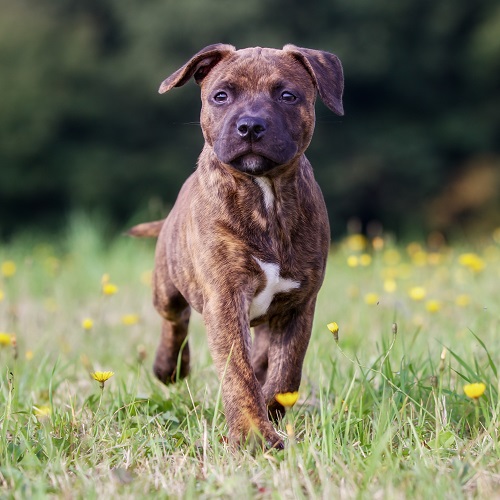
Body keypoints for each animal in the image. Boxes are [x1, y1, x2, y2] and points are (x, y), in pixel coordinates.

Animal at [129, 44, 344, 450]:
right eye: (221, 96)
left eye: (287, 96)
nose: (251, 126)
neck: (265, 193)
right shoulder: (225, 298)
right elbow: (239, 375)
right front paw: (254, 437)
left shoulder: (300, 304)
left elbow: (286, 373)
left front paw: (271, 414)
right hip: (166, 285)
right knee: (174, 319)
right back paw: (169, 367)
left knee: (260, 354)